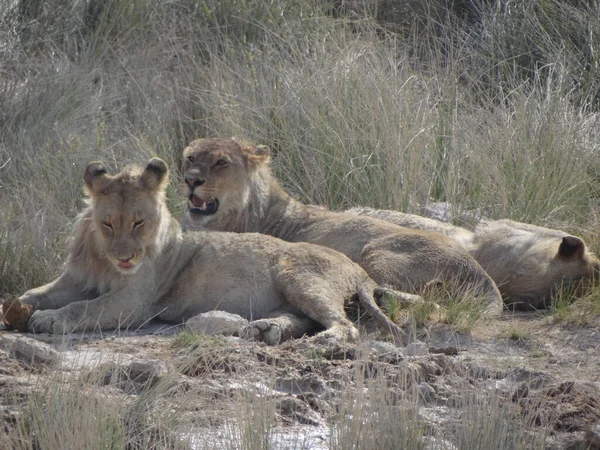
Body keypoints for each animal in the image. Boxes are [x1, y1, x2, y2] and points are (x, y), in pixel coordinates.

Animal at [18, 156, 404, 342]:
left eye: (139, 222)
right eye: (108, 223)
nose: (125, 257)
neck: (103, 260)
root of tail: (361, 271)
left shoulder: (135, 301)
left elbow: (85, 307)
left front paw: (50, 319)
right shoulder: (72, 280)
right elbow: (34, 294)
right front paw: (18, 308)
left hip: (297, 276)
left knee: (343, 325)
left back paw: (323, 342)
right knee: (303, 318)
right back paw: (265, 330)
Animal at [180, 137, 504, 316]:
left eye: (221, 163)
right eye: (191, 157)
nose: (191, 180)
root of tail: (479, 273)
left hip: (376, 250)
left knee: (396, 292)